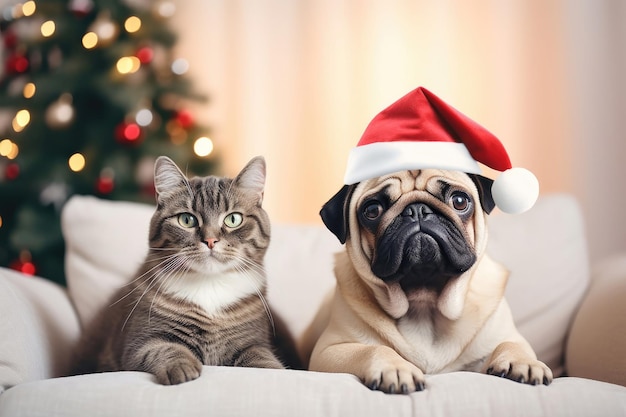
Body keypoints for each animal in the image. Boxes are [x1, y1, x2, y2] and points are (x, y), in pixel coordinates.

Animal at [72, 155, 298, 384]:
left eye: (233, 219)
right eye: (187, 220)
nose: (210, 240)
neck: (210, 285)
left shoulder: (252, 341)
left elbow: (262, 358)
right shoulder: (140, 342)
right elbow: (164, 349)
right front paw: (182, 368)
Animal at [302, 167, 552, 392]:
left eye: (459, 201)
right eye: (372, 210)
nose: (416, 210)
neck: (424, 299)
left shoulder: (503, 338)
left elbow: (511, 343)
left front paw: (525, 362)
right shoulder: (328, 351)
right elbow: (372, 349)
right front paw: (396, 369)